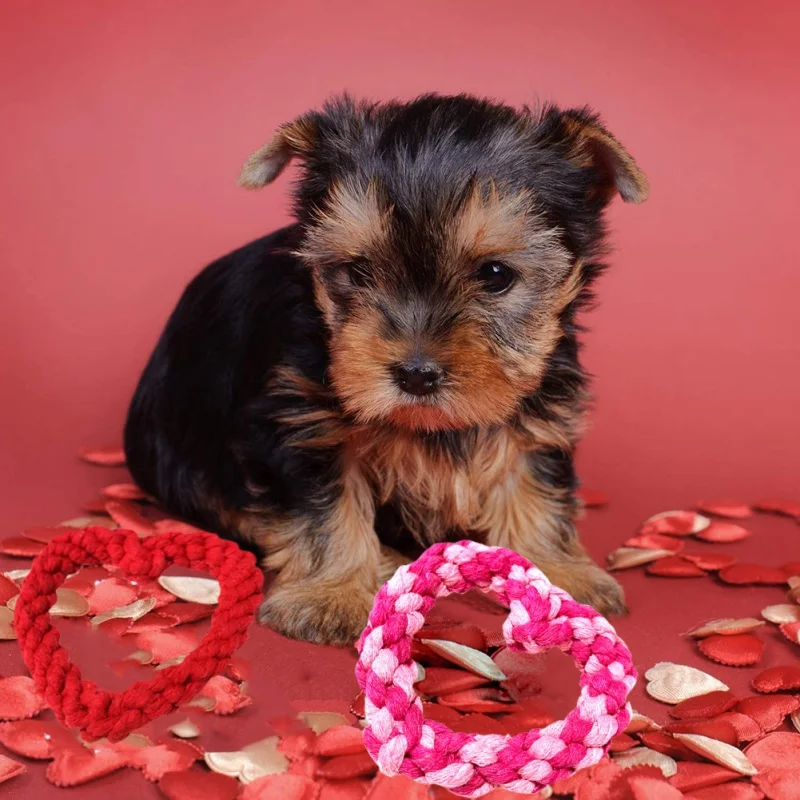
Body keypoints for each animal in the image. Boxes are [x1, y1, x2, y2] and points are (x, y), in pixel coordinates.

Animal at [126, 92, 648, 644]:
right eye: (356, 272)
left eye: (496, 275)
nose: (416, 374)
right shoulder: (298, 419)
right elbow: (322, 507)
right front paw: (329, 594)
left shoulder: (539, 404)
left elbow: (532, 479)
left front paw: (558, 575)